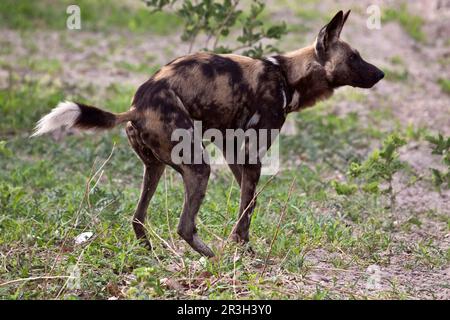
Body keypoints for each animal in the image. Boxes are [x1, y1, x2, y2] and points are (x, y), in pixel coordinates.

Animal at [32, 10, 384, 258]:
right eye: (354, 58)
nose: (381, 73)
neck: (286, 76)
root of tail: (136, 108)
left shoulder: (233, 151)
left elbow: (248, 203)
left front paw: (243, 247)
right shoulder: (252, 154)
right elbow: (248, 207)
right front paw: (243, 251)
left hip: (156, 168)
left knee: (138, 218)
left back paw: (152, 255)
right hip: (198, 167)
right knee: (184, 226)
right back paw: (211, 256)